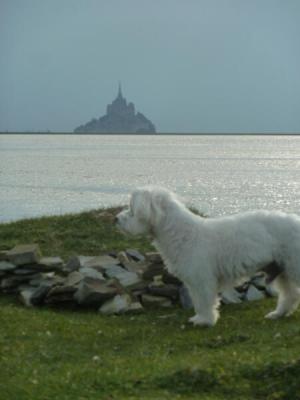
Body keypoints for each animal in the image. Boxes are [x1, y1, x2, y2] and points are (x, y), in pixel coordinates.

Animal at [116, 186, 300, 326]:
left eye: (131, 209)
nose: (116, 219)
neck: (183, 234)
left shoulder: (202, 279)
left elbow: (204, 302)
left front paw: (205, 321)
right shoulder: (193, 282)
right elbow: (198, 302)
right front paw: (199, 318)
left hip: (293, 266)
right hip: (281, 270)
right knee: (290, 295)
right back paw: (278, 314)